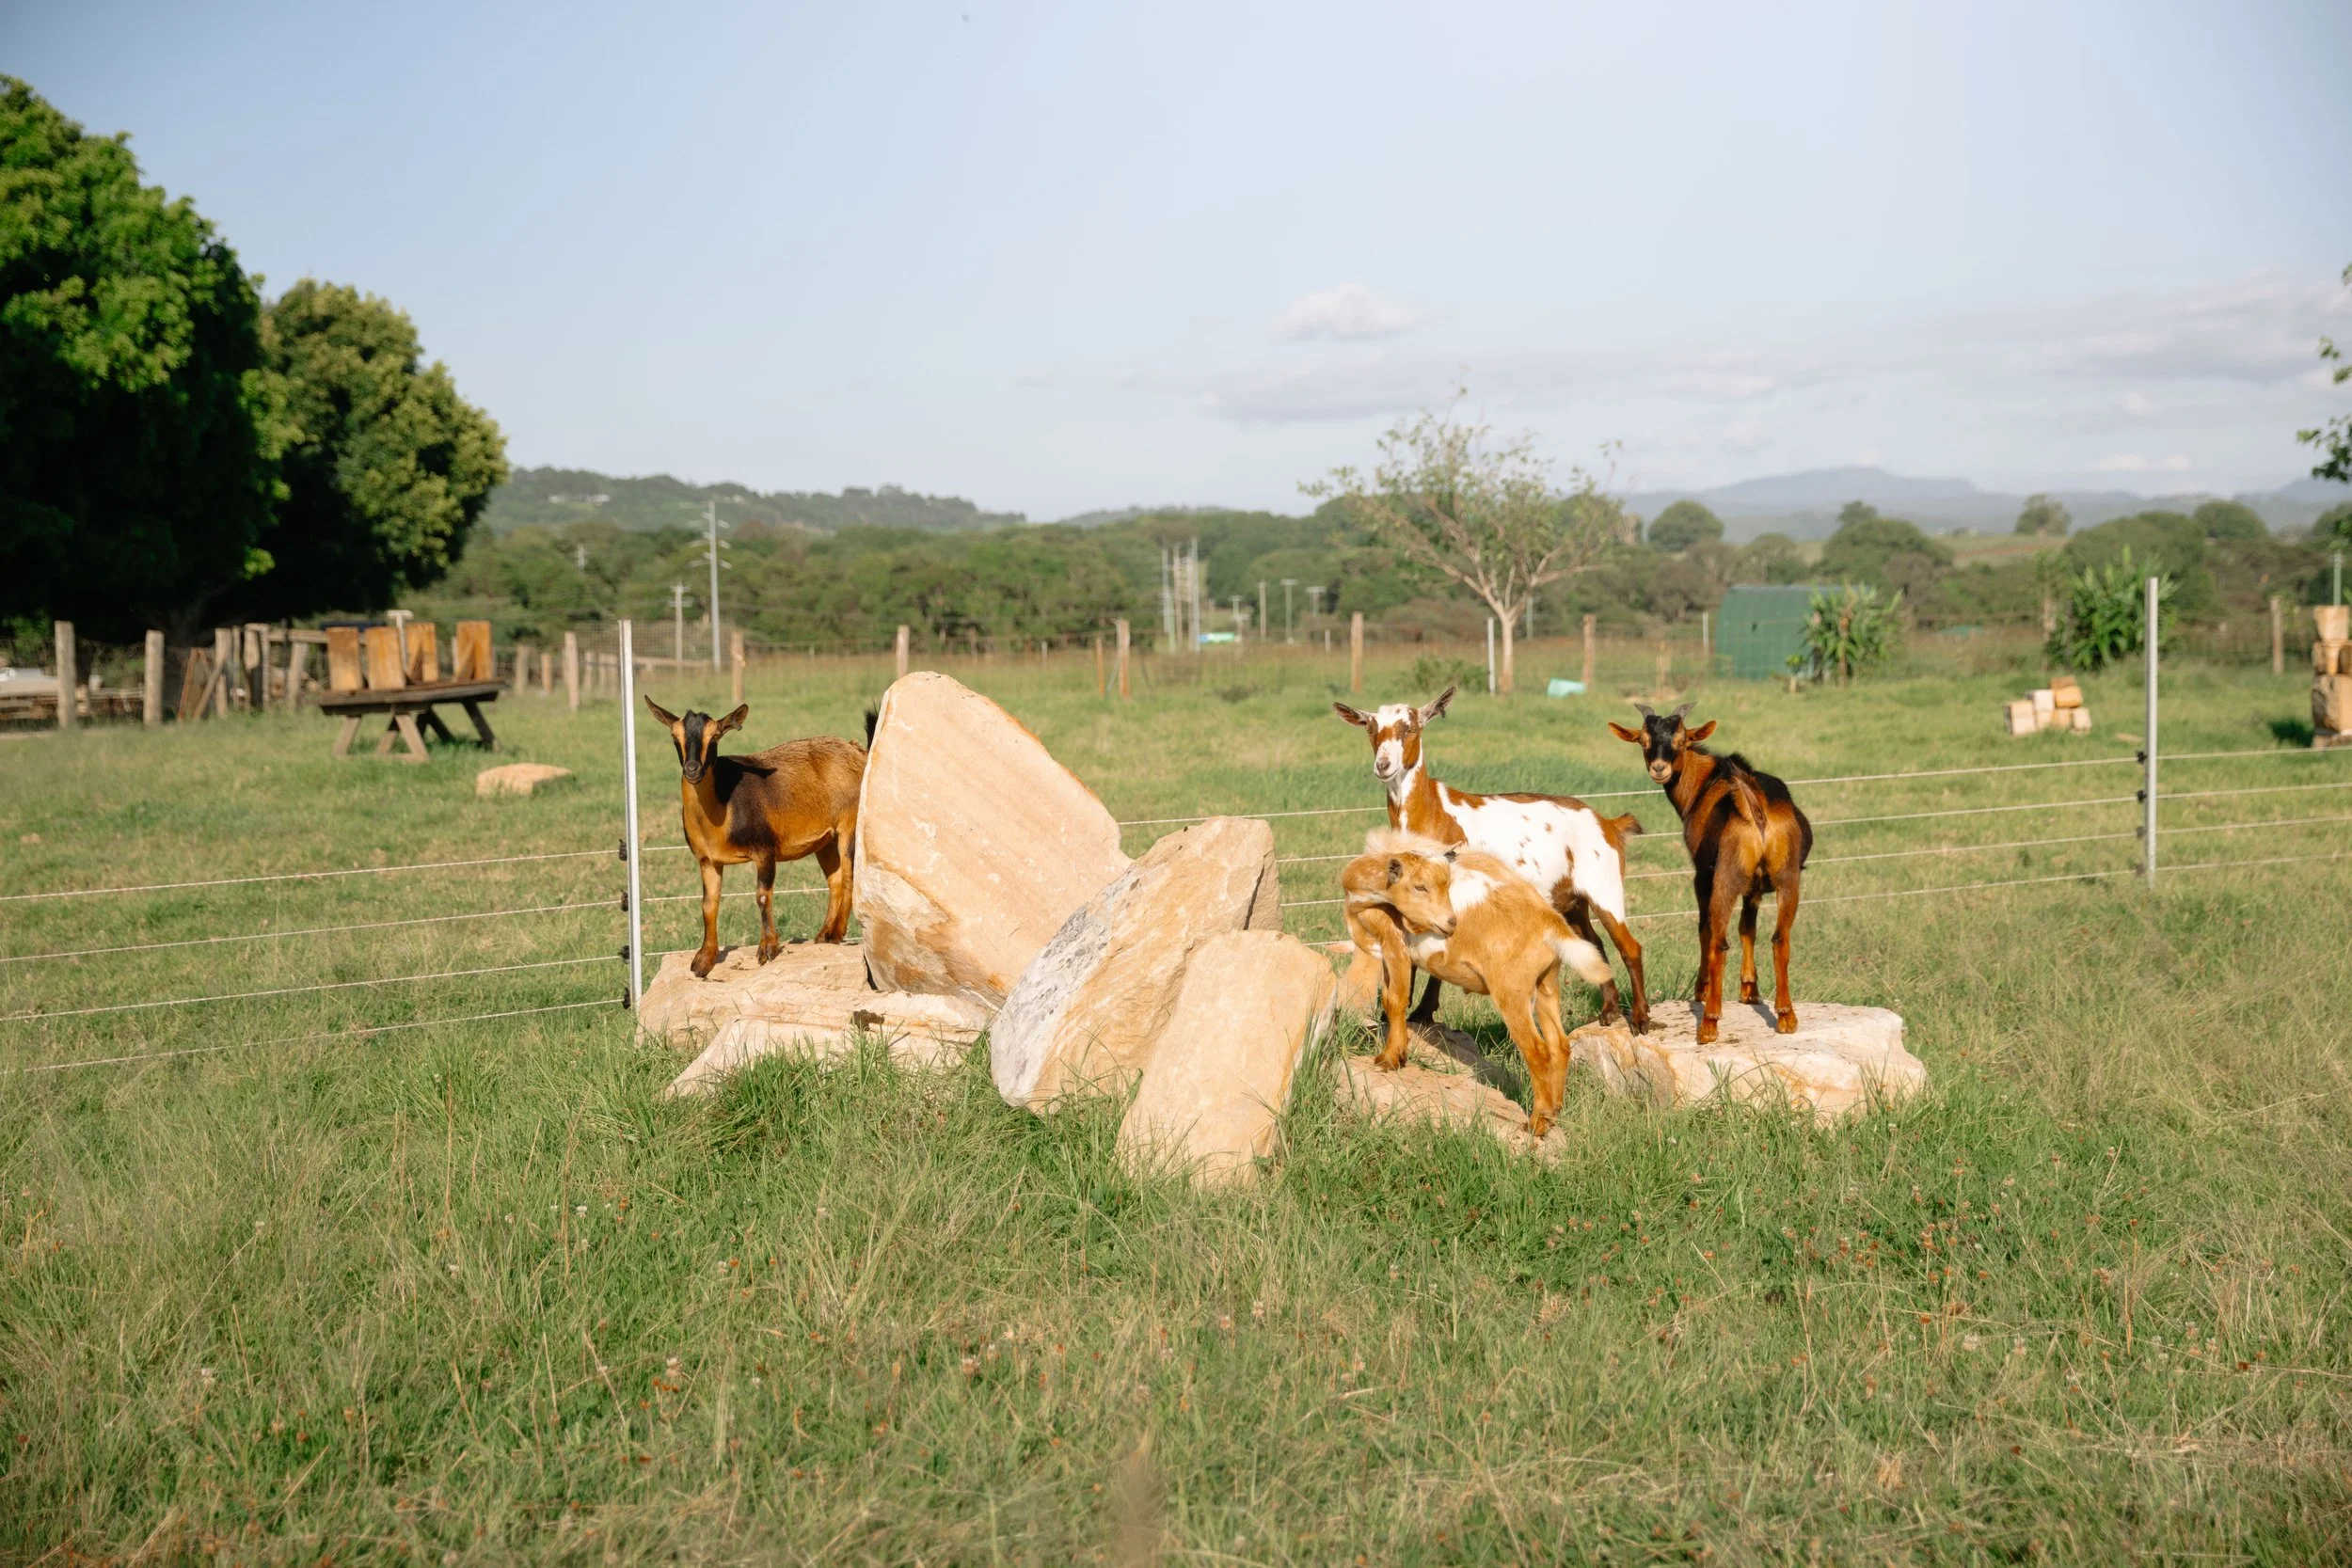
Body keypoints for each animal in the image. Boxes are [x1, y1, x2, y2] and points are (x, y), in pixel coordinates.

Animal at [644, 700, 869, 977]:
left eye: (715, 736)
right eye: (674, 736)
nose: (692, 769)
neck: (723, 807)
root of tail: (856, 750)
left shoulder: (765, 850)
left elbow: (762, 896)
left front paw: (767, 949)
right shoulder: (708, 861)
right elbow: (708, 904)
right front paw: (704, 960)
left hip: (850, 824)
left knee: (849, 875)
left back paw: (837, 932)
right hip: (825, 841)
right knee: (835, 879)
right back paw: (824, 935)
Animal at [1335, 685, 1649, 1032]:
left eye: (1411, 728)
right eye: (1370, 729)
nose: (1384, 764)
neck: (1432, 812)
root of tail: (1609, 823)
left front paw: (1423, 1013)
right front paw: (1397, 1015)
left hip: (1604, 884)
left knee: (1629, 946)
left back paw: (1641, 1018)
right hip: (1572, 899)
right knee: (1595, 943)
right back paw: (1609, 1011)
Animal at [1341, 829, 1612, 1139]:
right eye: (1420, 886)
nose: (1450, 923)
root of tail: (1551, 924)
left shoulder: (1393, 944)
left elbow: (1394, 1000)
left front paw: (1389, 1059)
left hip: (1512, 992)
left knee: (1538, 1051)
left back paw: (1537, 1124)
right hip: (1546, 984)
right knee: (1560, 1045)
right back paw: (1553, 1113)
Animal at [1607, 702, 1813, 1044]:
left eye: (1681, 740)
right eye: (1644, 741)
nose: (1659, 768)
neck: (1705, 782)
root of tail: (1755, 806)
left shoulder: (1702, 873)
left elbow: (1704, 929)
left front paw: (1701, 991)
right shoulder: (1755, 886)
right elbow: (1748, 929)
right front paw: (1750, 991)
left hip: (1725, 878)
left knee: (1719, 940)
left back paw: (1709, 1024)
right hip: (1788, 878)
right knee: (1779, 938)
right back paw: (1786, 1017)